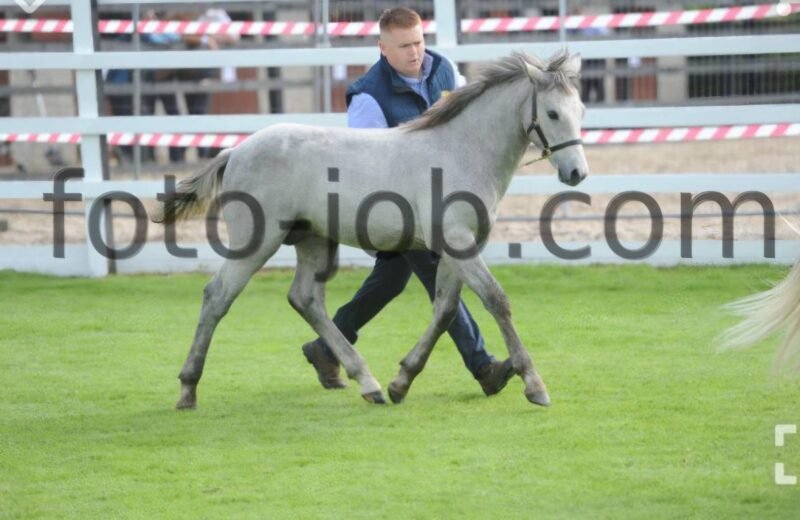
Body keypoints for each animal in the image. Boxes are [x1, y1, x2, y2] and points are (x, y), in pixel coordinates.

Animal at [155, 50, 588, 409]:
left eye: (581, 110)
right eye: (552, 114)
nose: (576, 173)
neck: (461, 152)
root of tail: (235, 151)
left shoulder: (457, 248)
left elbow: (446, 310)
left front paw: (403, 381)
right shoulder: (457, 242)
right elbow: (496, 301)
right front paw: (534, 384)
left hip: (313, 240)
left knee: (305, 300)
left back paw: (368, 382)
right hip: (256, 241)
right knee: (217, 296)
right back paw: (188, 389)